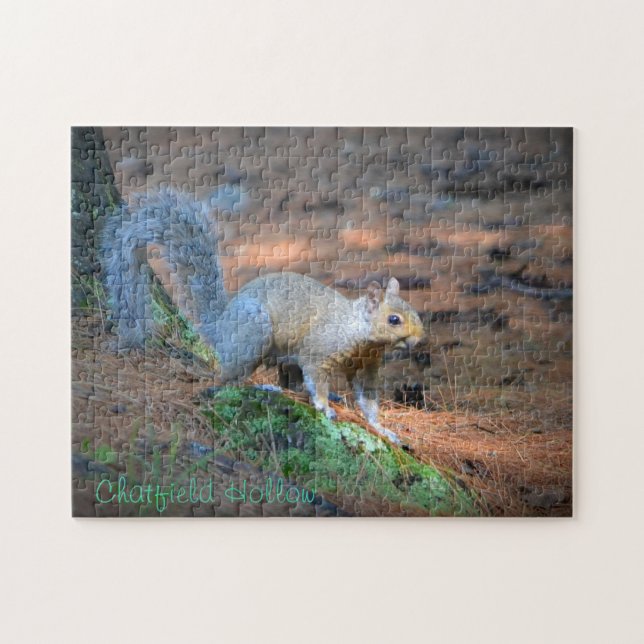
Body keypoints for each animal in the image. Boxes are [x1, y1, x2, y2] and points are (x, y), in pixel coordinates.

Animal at [100, 188, 426, 444]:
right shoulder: (319, 350)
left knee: (288, 382)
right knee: (229, 381)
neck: (358, 332)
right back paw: (263, 386)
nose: (419, 340)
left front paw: (382, 428)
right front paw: (323, 405)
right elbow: (317, 378)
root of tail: (222, 327)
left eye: (415, 313)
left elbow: (368, 401)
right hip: (253, 336)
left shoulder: (367, 367)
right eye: (393, 319)